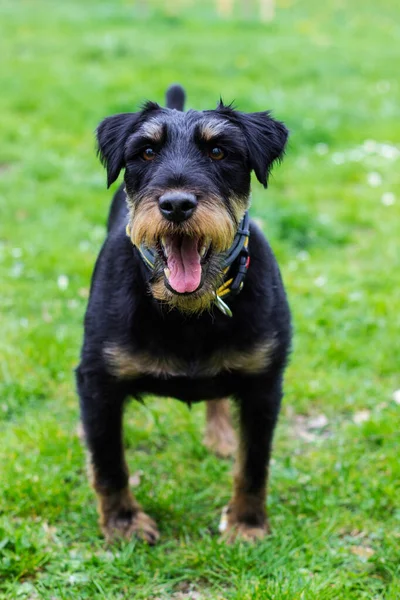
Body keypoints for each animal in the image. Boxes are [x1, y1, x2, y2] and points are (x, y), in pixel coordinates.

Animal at [76, 84, 292, 544]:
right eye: (145, 152)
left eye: (219, 151)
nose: (176, 204)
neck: (186, 313)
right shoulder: (97, 384)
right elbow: (108, 462)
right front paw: (124, 523)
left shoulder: (264, 385)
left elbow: (254, 464)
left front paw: (247, 523)